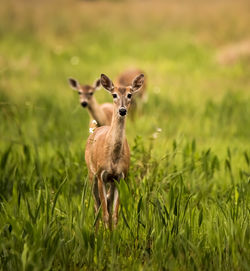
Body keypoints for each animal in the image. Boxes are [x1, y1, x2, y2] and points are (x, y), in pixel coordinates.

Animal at [84, 73, 145, 231]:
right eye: (114, 94)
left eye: (130, 94)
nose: (122, 110)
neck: (113, 157)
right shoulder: (101, 175)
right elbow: (104, 212)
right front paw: (105, 236)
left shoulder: (120, 176)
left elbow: (115, 215)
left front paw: (114, 235)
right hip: (91, 174)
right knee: (97, 206)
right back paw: (96, 231)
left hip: (110, 181)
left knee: (108, 203)